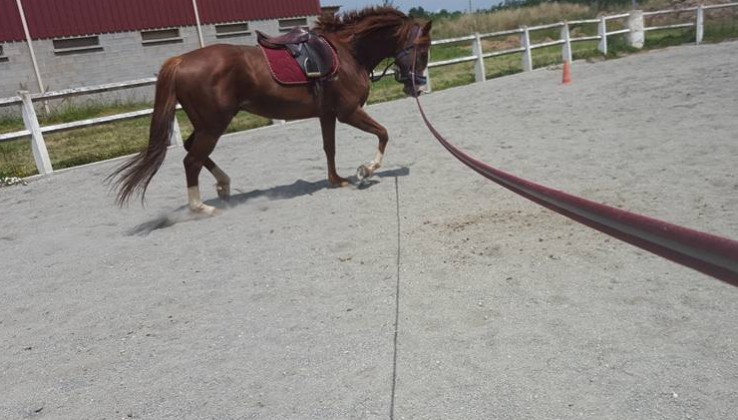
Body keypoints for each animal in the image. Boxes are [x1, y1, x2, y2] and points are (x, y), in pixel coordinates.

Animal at [109, 7, 432, 213]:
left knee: (193, 150)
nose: (416, 86)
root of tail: (180, 61)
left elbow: (329, 147)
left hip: (206, 124)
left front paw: (336, 180)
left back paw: (223, 185)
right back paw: (200, 206)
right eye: (423, 49)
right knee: (191, 160)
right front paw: (366, 170)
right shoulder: (348, 111)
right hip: (214, 126)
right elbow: (383, 134)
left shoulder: (327, 114)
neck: (347, 52)